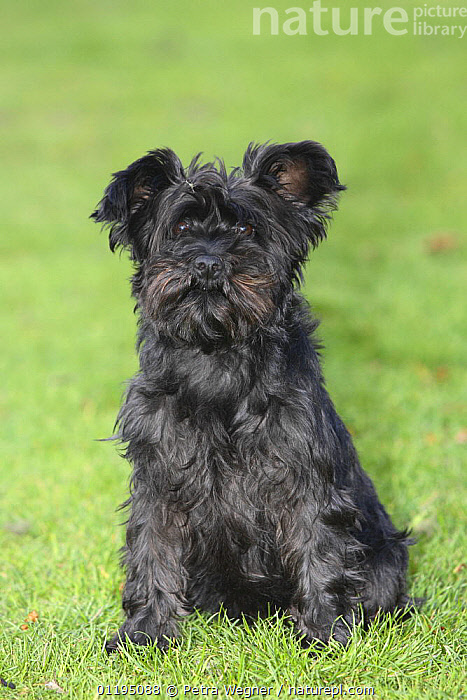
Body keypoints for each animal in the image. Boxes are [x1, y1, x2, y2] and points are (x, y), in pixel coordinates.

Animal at [93, 141, 414, 652]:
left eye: (245, 228)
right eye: (180, 227)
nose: (208, 263)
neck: (218, 355)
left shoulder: (304, 480)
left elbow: (319, 553)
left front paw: (324, 634)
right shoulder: (160, 479)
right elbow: (151, 552)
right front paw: (145, 635)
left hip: (382, 559)